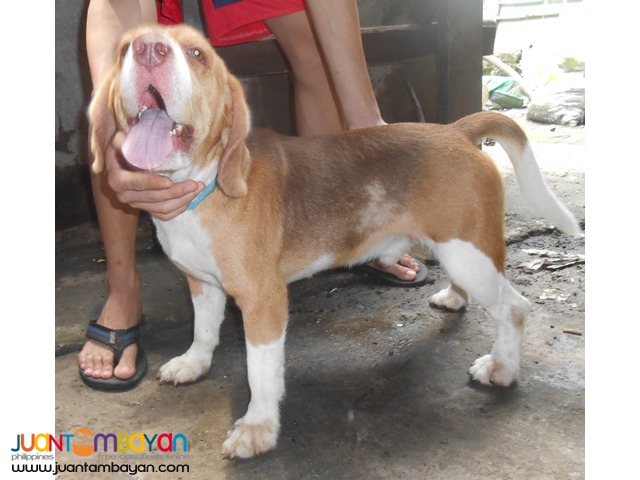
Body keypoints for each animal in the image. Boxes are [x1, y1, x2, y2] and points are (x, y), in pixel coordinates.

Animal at [87, 24, 584, 460]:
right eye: (126, 47)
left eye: (197, 54)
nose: (148, 49)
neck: (201, 185)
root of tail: (455, 130)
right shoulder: (202, 283)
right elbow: (203, 330)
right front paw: (194, 362)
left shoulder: (264, 301)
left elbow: (260, 372)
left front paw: (258, 428)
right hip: (460, 253)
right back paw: (453, 298)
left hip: (469, 254)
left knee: (514, 309)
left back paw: (502, 368)